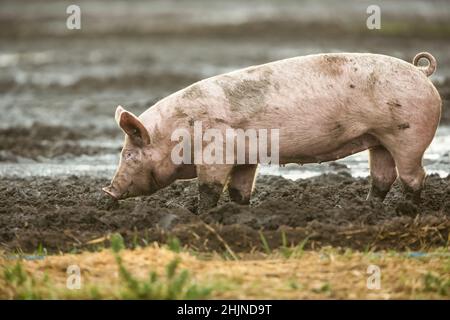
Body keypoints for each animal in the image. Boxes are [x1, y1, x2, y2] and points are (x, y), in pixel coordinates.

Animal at [101, 52, 440, 212]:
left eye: (129, 154)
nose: (107, 191)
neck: (178, 132)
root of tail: (420, 71)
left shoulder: (216, 153)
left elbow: (210, 188)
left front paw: (201, 216)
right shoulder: (245, 156)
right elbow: (239, 189)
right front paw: (239, 212)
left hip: (408, 134)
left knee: (413, 176)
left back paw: (407, 210)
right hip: (379, 139)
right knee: (383, 175)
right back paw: (368, 208)